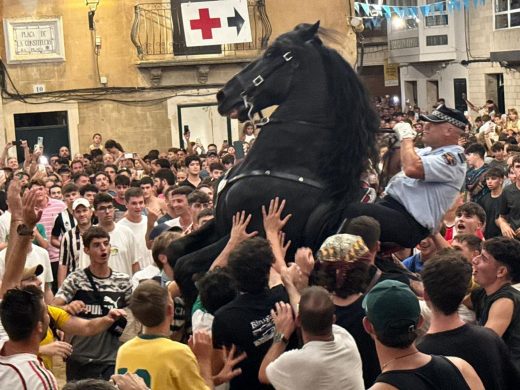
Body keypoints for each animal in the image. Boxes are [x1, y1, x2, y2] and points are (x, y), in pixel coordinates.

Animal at [171, 22, 378, 302]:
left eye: (272, 52)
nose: (223, 95)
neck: (284, 164)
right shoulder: (222, 224)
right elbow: (176, 249)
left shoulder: (248, 231)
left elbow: (185, 265)